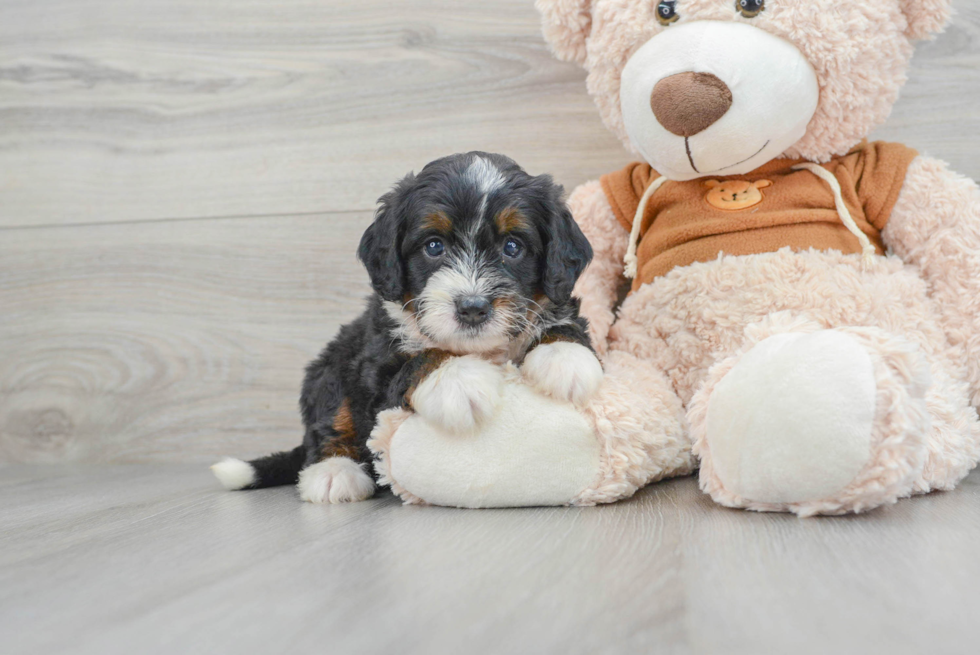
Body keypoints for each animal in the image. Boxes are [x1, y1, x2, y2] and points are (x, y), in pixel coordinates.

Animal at [211, 154, 600, 508]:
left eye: (512, 247)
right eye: (433, 246)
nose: (473, 307)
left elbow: (566, 323)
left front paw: (567, 359)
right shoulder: (375, 369)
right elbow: (418, 361)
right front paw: (459, 381)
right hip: (331, 368)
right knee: (329, 423)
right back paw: (333, 473)